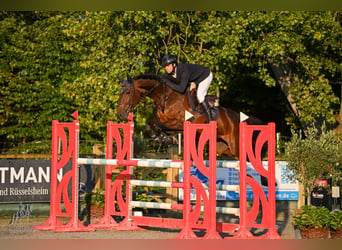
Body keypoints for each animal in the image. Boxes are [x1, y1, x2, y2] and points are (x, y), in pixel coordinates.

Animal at [116, 73, 264, 158]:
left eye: (128, 92)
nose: (120, 114)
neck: (164, 97)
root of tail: (237, 118)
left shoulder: (180, 122)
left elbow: (160, 126)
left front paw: (168, 139)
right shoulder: (159, 120)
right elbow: (150, 125)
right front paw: (162, 139)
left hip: (236, 146)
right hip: (223, 147)